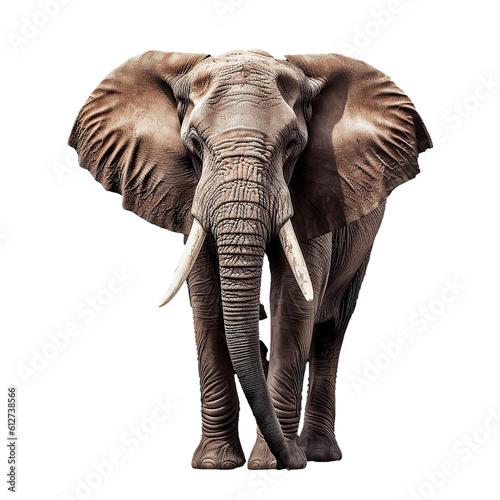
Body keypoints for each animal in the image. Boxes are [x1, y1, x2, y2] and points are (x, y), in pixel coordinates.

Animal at [68, 48, 432, 470]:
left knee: (332, 326)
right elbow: (206, 299)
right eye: (194, 143)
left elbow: (294, 300)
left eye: (293, 144)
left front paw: (272, 464)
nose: (290, 460)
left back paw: (318, 454)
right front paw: (215, 464)